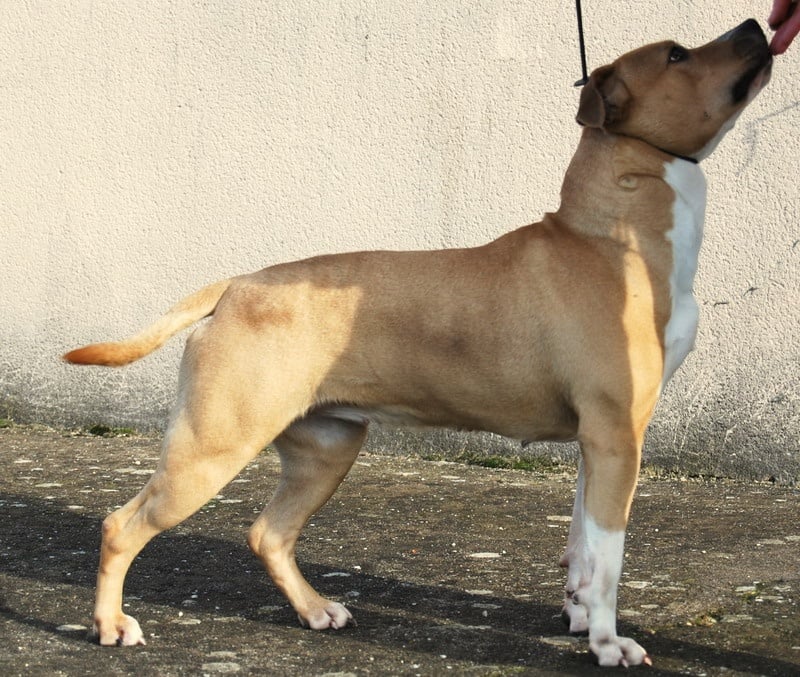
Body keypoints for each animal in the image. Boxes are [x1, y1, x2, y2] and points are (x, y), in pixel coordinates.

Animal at [64, 20, 772, 667]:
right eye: (677, 54)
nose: (754, 24)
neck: (609, 235)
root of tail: (236, 285)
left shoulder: (598, 442)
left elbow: (581, 546)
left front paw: (576, 615)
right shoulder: (617, 436)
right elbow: (609, 557)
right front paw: (606, 642)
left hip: (327, 447)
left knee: (269, 533)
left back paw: (316, 611)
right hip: (211, 448)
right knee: (122, 526)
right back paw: (112, 625)